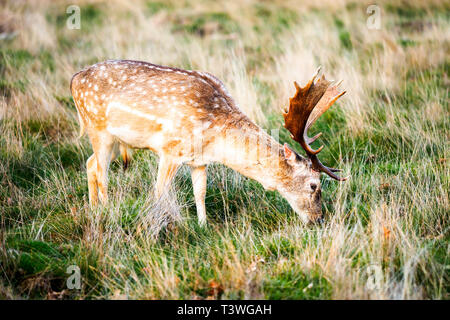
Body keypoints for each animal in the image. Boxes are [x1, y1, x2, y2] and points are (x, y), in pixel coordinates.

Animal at [70, 59, 348, 225]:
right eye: (314, 185)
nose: (319, 219)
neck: (216, 138)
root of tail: (73, 80)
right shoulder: (171, 149)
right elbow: (159, 191)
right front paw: (160, 223)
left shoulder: (199, 160)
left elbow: (200, 192)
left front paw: (203, 225)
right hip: (98, 128)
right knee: (101, 172)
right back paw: (106, 211)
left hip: (114, 139)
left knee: (90, 163)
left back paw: (94, 210)